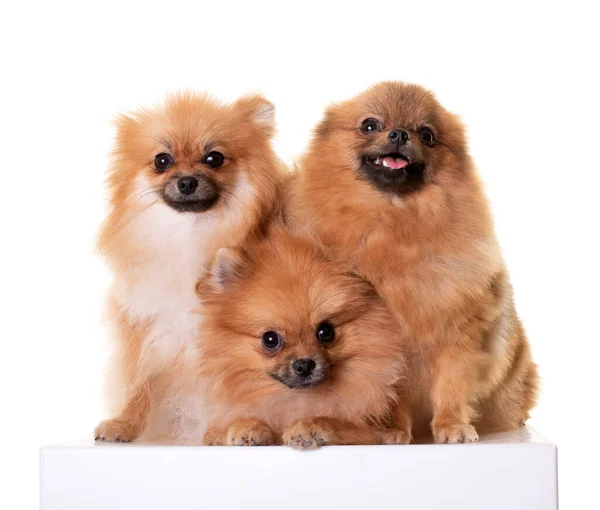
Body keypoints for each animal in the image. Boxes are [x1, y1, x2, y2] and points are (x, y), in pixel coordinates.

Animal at [94, 91, 286, 442]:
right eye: (162, 160)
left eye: (214, 158)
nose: (186, 181)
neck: (190, 234)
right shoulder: (143, 325)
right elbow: (137, 381)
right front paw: (125, 424)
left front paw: (227, 431)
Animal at [197, 228, 408, 450]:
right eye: (270, 339)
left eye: (326, 332)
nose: (304, 364)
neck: (296, 398)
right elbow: (225, 428)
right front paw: (246, 427)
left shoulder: (368, 431)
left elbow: (337, 422)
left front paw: (307, 427)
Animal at [286, 82, 540, 442]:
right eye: (369, 125)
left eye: (427, 134)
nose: (399, 134)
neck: (396, 223)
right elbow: (394, 394)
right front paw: (393, 429)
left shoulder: (455, 328)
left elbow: (452, 382)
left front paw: (452, 424)